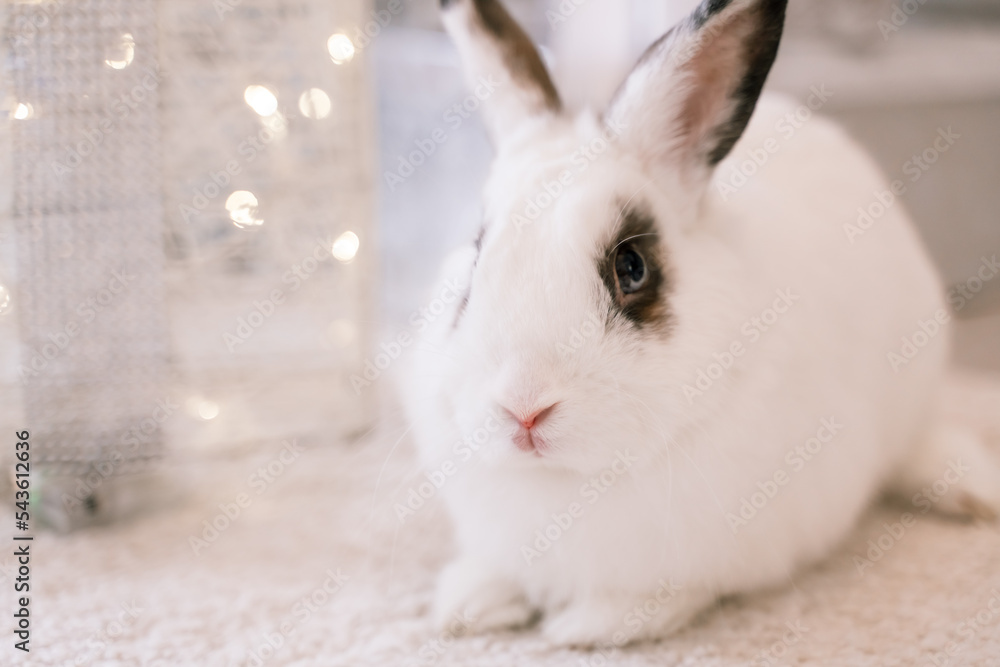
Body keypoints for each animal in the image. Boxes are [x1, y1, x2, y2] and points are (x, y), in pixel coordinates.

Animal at [400, 0, 1000, 648]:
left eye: (632, 267)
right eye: (476, 255)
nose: (524, 408)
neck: (567, 480)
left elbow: (668, 593)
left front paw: (589, 625)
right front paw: (468, 604)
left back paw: (975, 493)